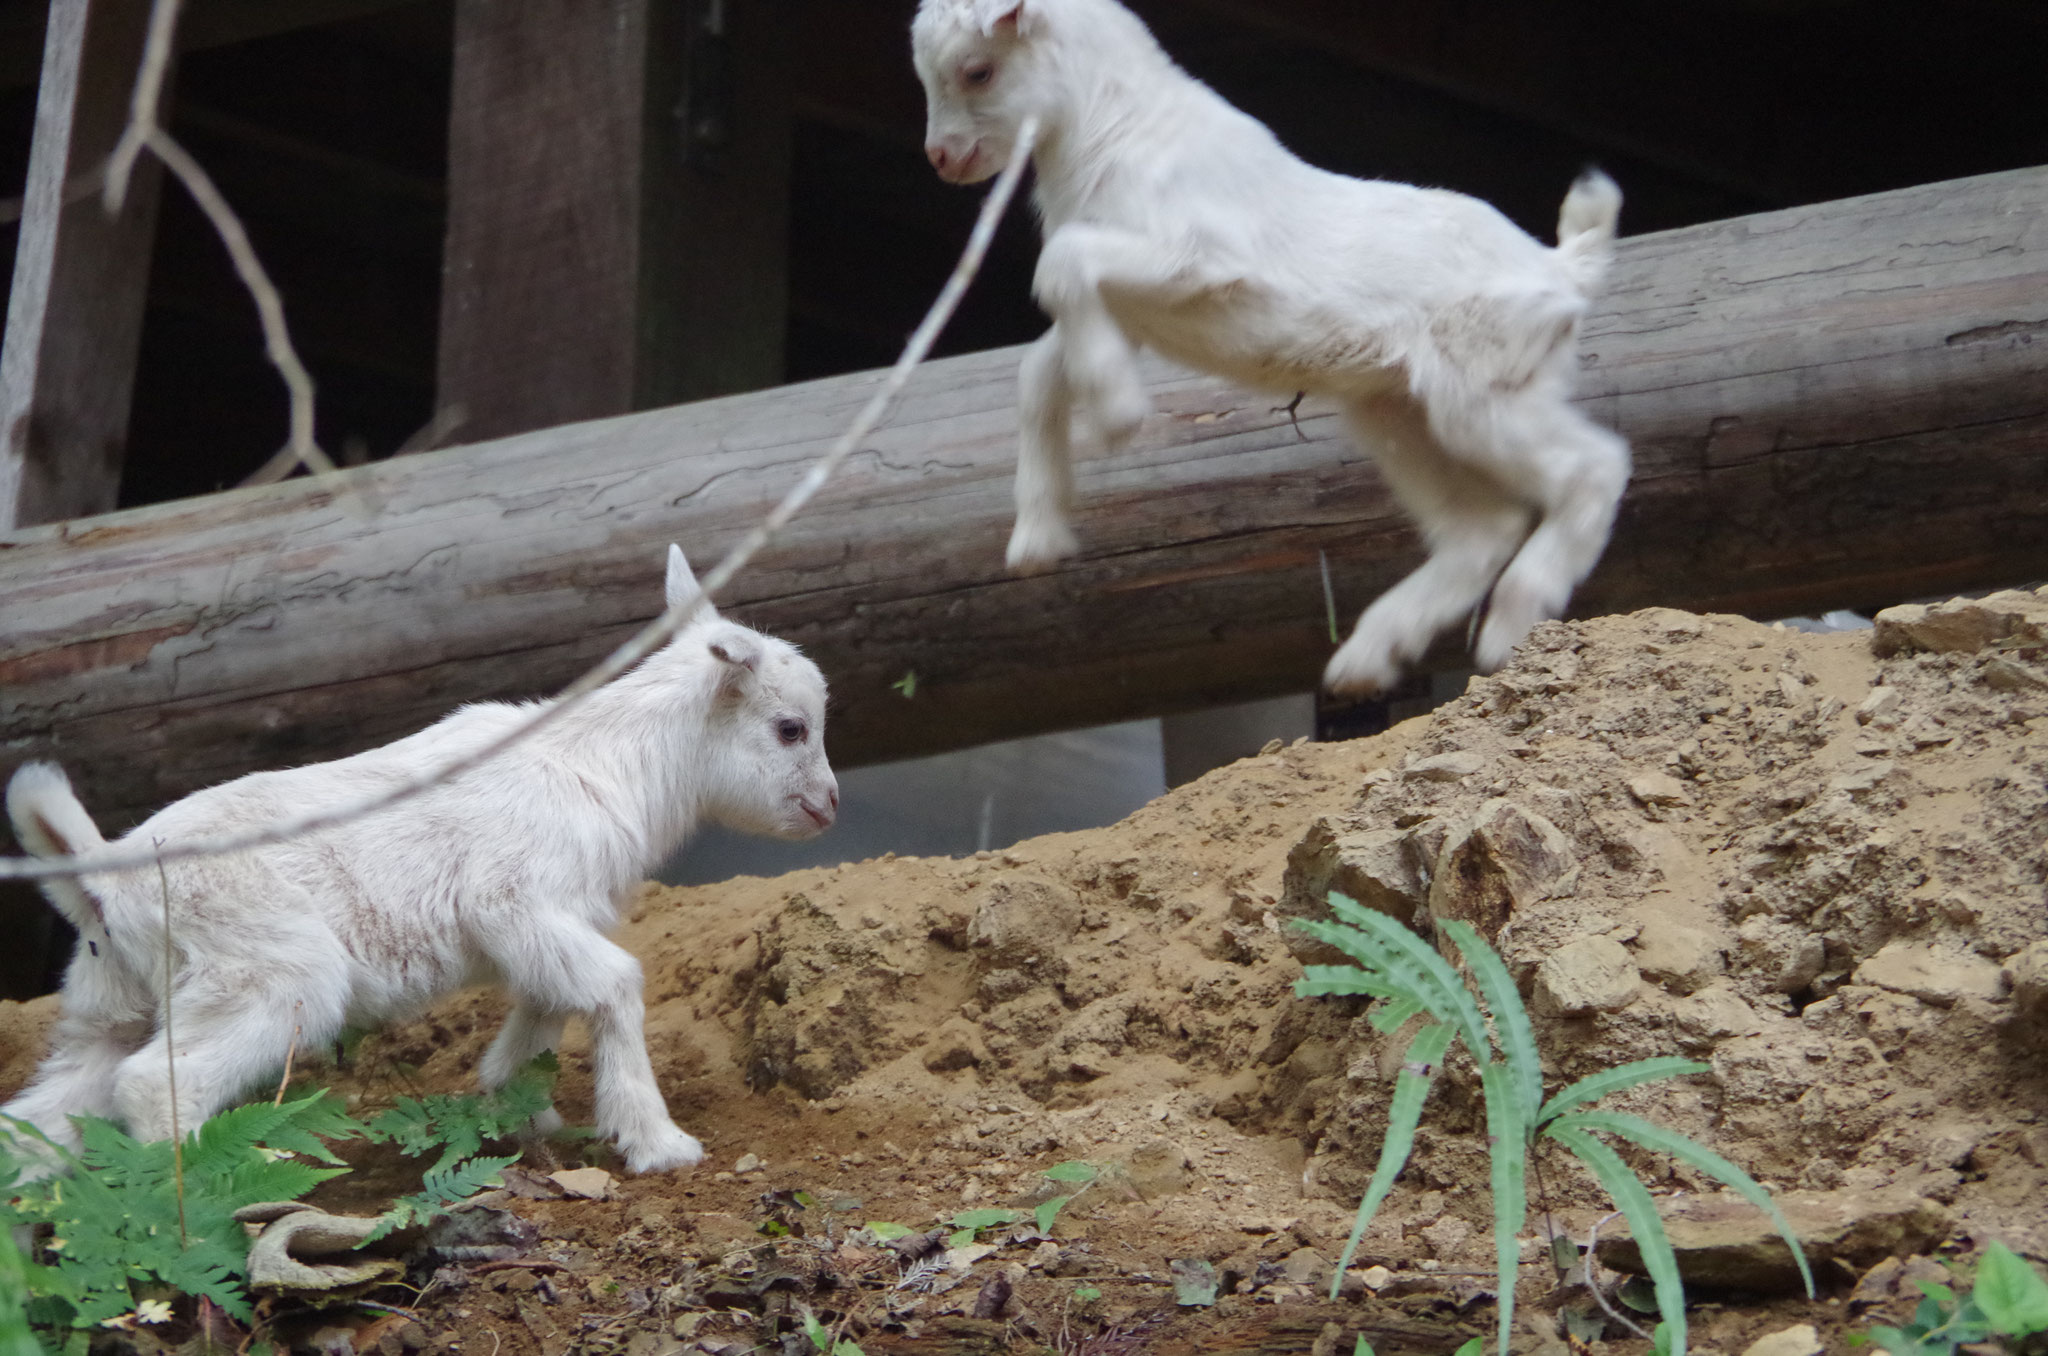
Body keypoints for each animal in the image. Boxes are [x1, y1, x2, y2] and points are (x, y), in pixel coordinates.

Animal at [0, 548, 835, 1171]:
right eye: (791, 728)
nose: (829, 806)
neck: (604, 763)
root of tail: (103, 875)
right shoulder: (515, 903)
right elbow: (616, 986)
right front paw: (657, 1144)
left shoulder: (543, 928)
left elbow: (548, 1007)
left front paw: (516, 1110)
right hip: (269, 974)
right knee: (155, 1087)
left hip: (113, 1005)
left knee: (41, 1118)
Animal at [913, 0, 1630, 696]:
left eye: (978, 71)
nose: (941, 158)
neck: (1117, 128)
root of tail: (1561, 269)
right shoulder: (1128, 313)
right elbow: (1038, 367)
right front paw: (1038, 537)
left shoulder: (1197, 258)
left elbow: (1062, 260)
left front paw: (1117, 416)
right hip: (1398, 415)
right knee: (1484, 529)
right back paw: (1367, 660)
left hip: (1482, 395)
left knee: (1592, 468)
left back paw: (1510, 627)